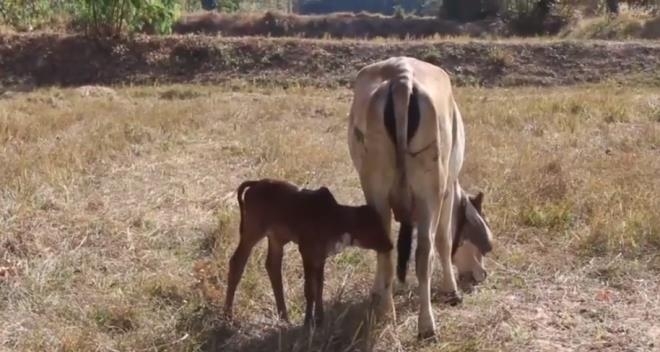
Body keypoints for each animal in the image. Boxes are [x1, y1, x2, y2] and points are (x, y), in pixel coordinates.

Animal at [224, 179, 394, 328]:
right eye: (371, 228)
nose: (390, 245)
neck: (335, 218)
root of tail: (256, 183)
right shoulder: (306, 252)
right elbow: (309, 290)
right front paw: (307, 321)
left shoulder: (321, 257)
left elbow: (319, 288)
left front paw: (319, 319)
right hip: (252, 232)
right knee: (237, 262)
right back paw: (228, 316)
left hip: (275, 239)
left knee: (273, 266)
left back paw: (284, 316)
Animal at [348, 57, 492, 338]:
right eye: (483, 245)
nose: (482, 275)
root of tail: (401, 77)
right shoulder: (447, 193)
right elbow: (445, 241)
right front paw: (451, 290)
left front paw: (378, 292)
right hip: (432, 192)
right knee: (426, 252)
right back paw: (427, 326)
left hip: (375, 187)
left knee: (385, 247)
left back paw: (387, 313)